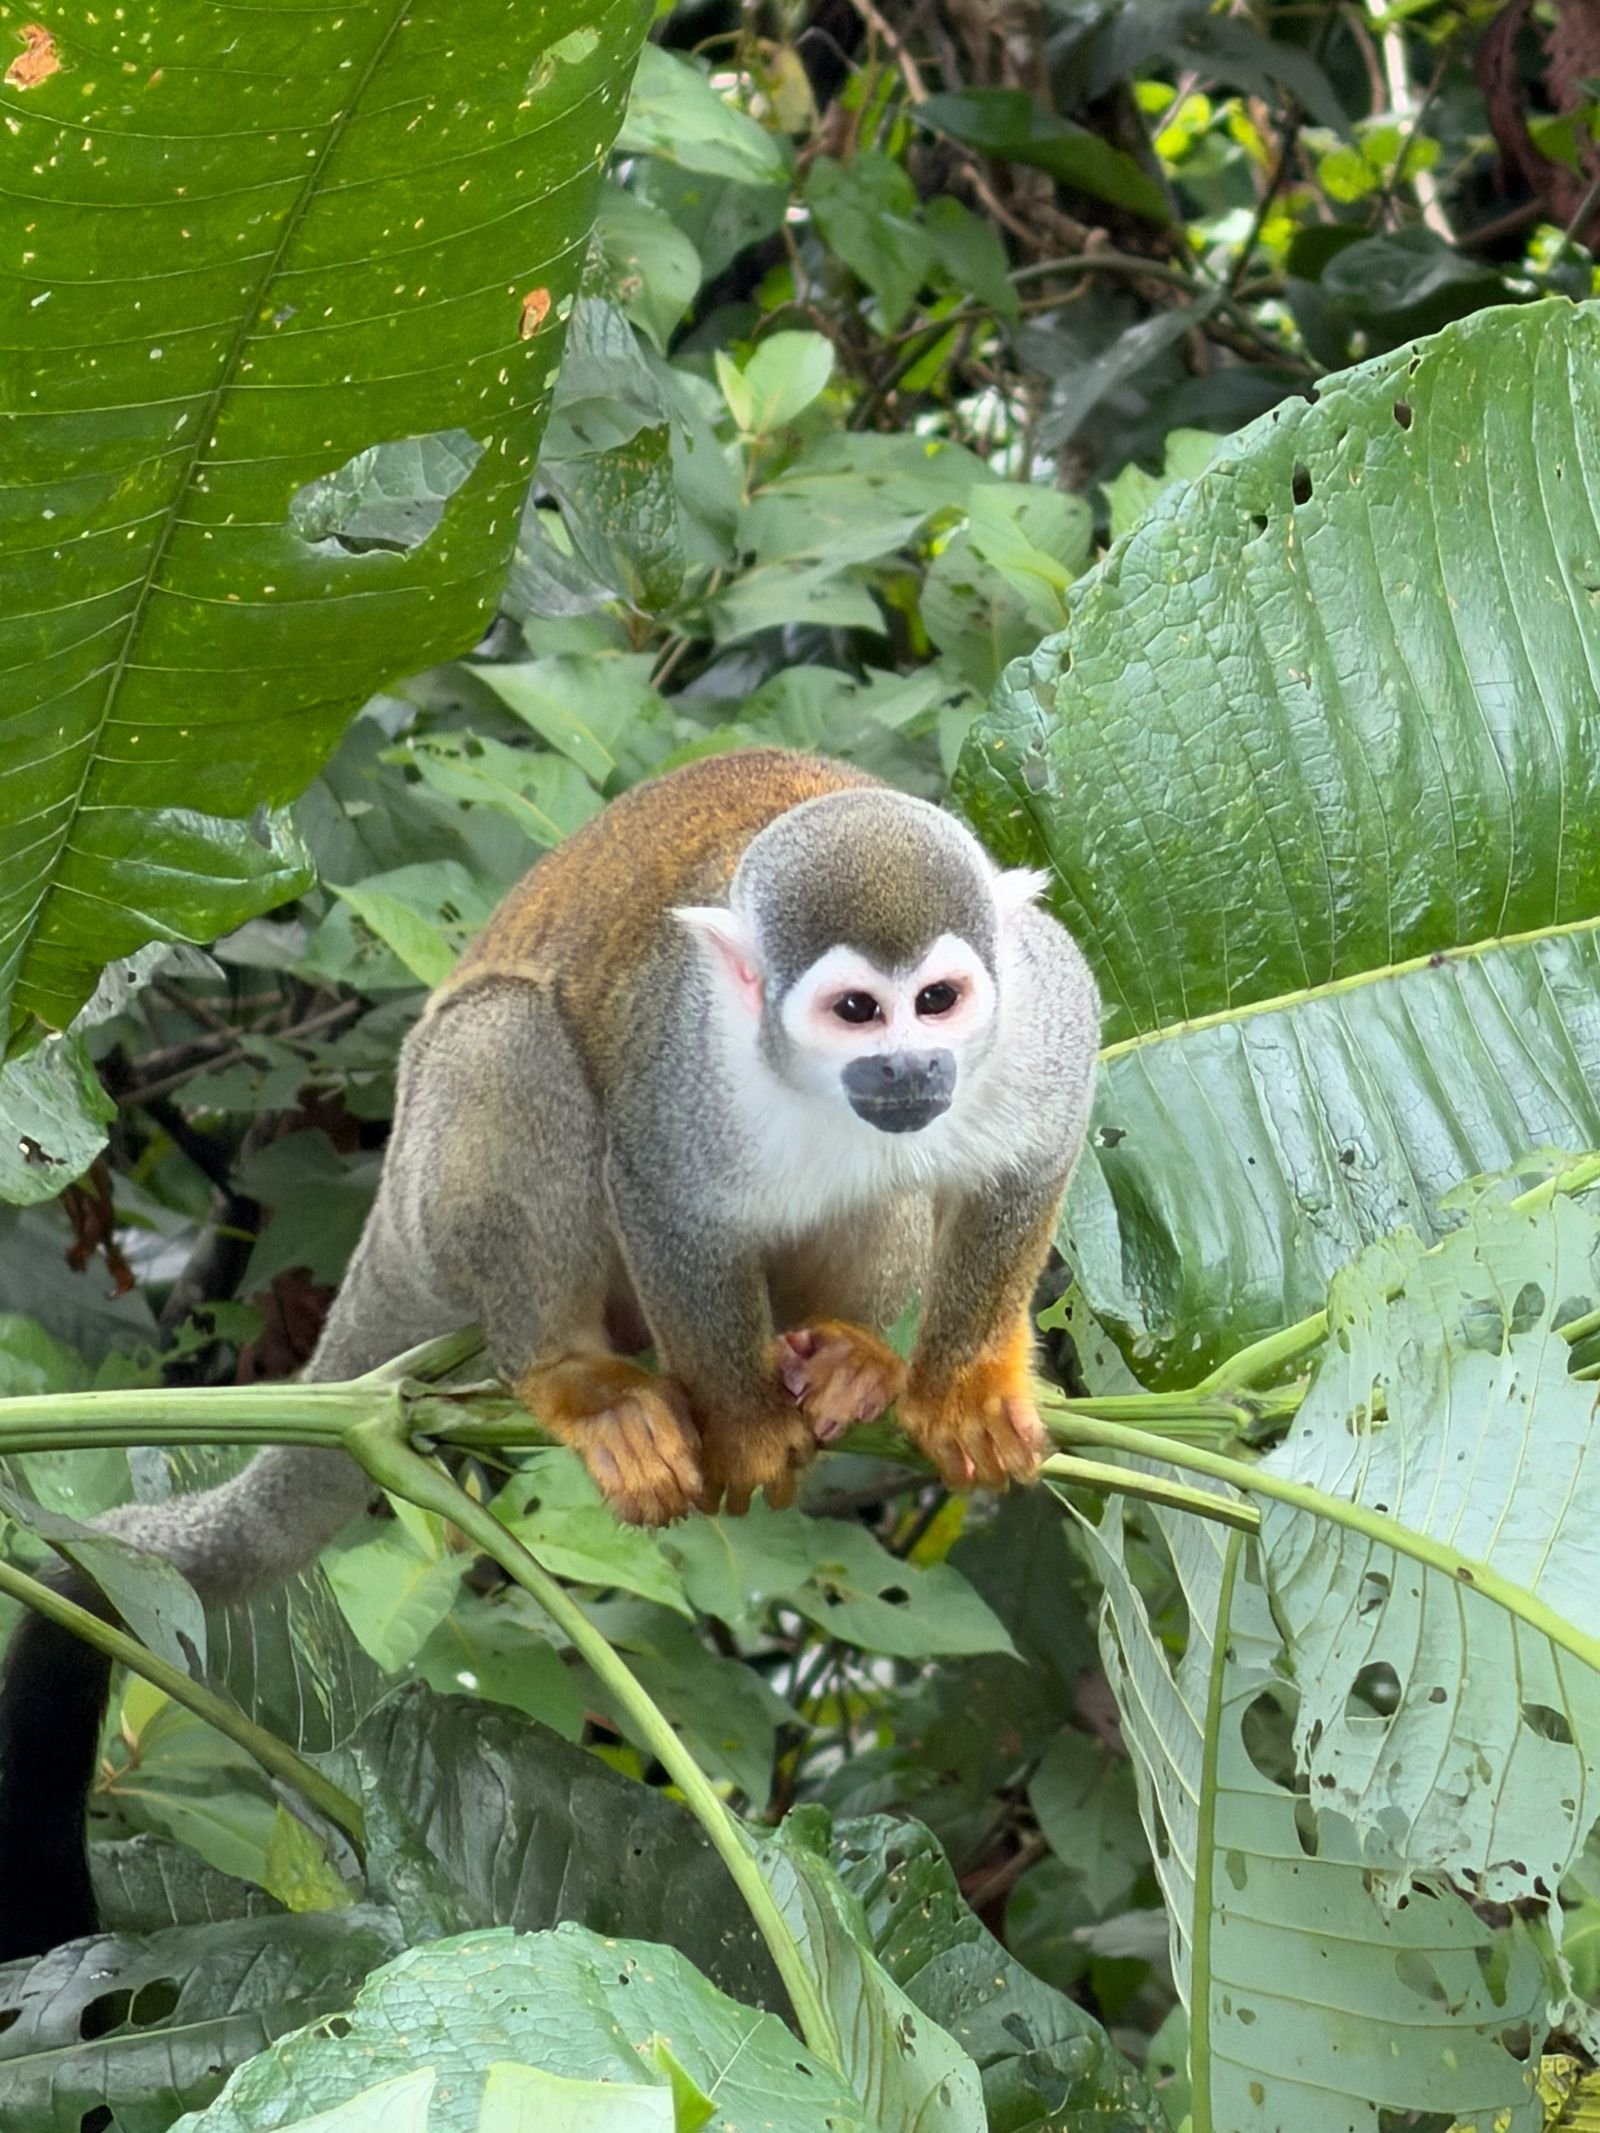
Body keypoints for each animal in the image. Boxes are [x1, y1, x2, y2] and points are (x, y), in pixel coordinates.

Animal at [0, 748, 1100, 1961]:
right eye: (857, 1010)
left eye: (939, 1000)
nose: (909, 1067)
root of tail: (393, 1175)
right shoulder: (683, 1063)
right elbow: (664, 1196)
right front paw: (747, 1427)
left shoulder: (1042, 1009)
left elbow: (1031, 1158)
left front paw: (961, 1386)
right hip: (440, 1177)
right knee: (513, 1039)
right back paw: (582, 1380)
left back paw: (851, 1351)